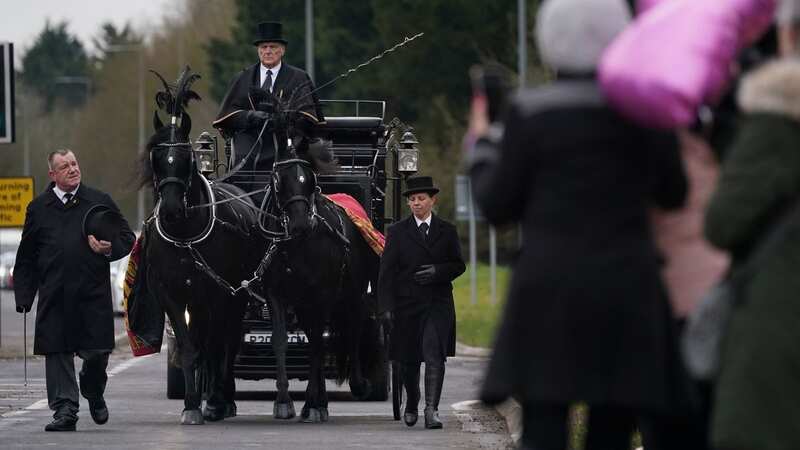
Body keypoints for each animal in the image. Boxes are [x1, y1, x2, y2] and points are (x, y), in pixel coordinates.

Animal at [136, 67, 264, 426]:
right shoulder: (174, 296)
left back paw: (223, 398)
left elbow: (215, 345)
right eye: (156, 157)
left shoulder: (218, 293)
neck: (185, 235)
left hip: (235, 295)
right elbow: (190, 349)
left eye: (184, 157)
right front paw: (192, 404)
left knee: (227, 341)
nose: (169, 209)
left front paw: (213, 402)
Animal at [262, 142, 384, 424]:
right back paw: (322, 402)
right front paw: (284, 402)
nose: (298, 223)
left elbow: (318, 345)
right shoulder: (276, 294)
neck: (296, 245)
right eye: (278, 179)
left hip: (352, 295)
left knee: (352, 330)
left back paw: (354, 386)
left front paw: (310, 402)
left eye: (310, 180)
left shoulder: (321, 295)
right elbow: (281, 340)